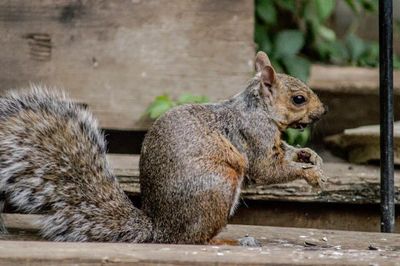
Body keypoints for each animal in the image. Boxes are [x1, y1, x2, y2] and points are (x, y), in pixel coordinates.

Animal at [0, 52, 324, 245]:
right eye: (298, 99)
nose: (323, 111)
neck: (258, 108)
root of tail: (161, 228)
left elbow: (286, 154)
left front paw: (310, 156)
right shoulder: (254, 135)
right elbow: (267, 170)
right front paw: (308, 173)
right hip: (219, 185)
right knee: (195, 240)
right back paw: (224, 241)